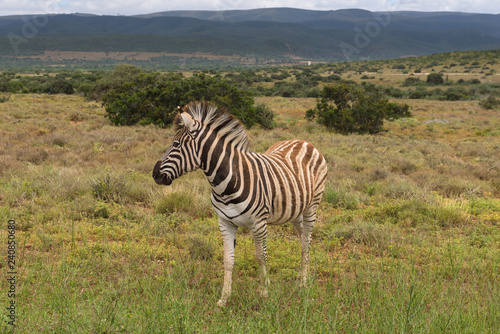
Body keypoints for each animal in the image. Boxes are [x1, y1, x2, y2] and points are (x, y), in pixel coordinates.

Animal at [152, 100, 328, 306]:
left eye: (176, 144)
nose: (154, 174)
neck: (225, 185)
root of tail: (304, 141)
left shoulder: (259, 223)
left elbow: (260, 257)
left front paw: (264, 292)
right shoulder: (225, 222)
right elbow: (228, 260)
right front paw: (224, 298)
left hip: (312, 206)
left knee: (306, 241)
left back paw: (304, 282)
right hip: (294, 209)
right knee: (302, 238)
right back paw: (300, 276)